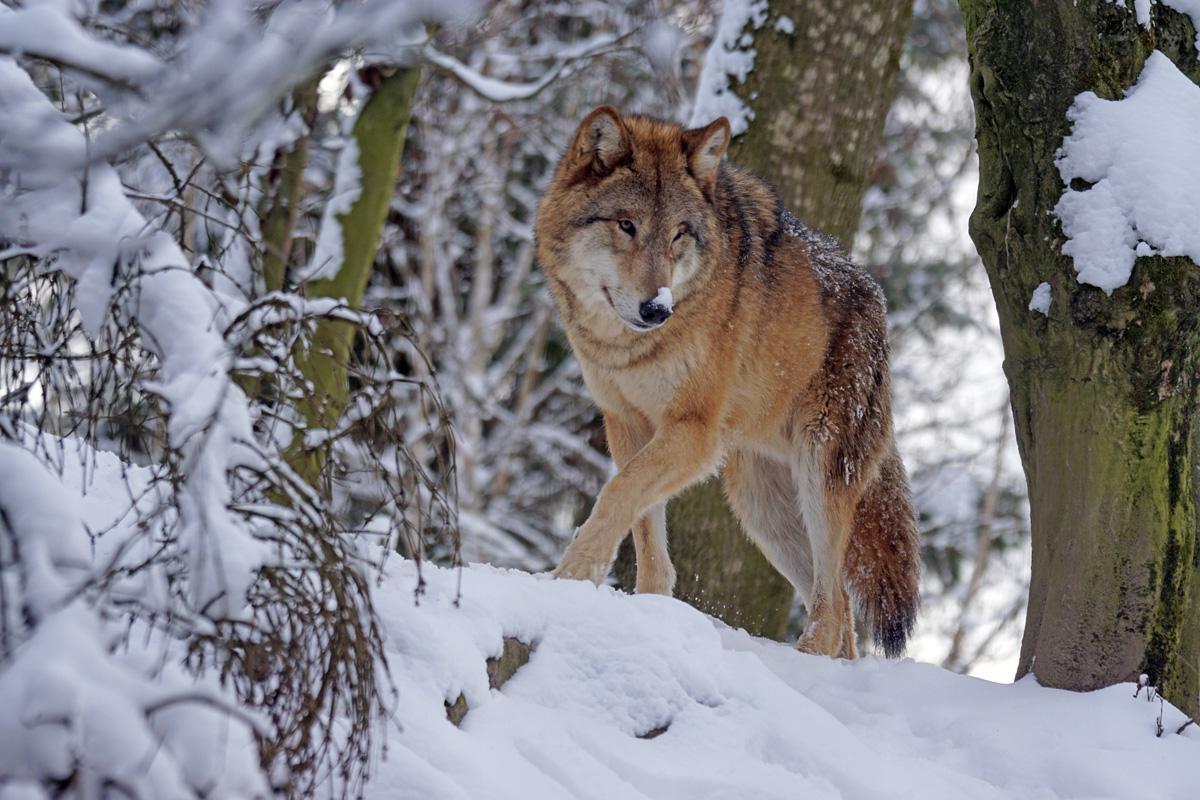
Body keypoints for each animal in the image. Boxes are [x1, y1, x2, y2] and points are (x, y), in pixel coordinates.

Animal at [534, 107, 920, 658]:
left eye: (679, 233)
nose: (657, 309)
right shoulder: (626, 424)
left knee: (832, 606)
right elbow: (644, 528)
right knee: (842, 610)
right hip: (761, 507)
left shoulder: (694, 432)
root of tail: (877, 302)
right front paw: (647, 610)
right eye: (626, 225)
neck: (629, 348)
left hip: (819, 475)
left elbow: (615, 496)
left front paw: (570, 577)